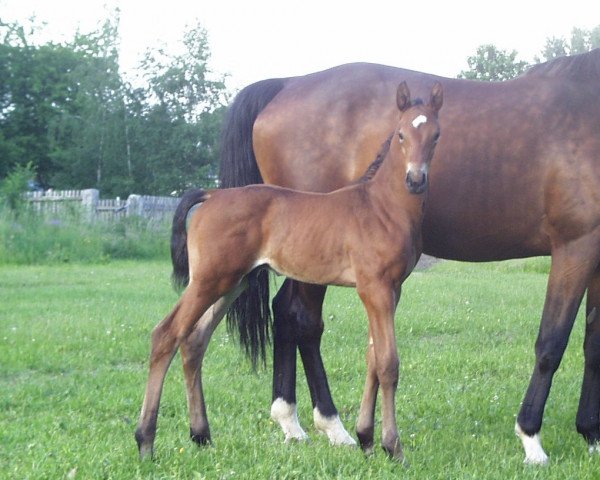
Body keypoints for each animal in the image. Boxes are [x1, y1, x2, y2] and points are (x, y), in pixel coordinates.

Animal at [137, 83, 446, 462]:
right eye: (401, 134)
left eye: (436, 135)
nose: (416, 179)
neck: (380, 206)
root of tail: (211, 195)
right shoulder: (374, 288)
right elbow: (388, 363)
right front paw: (393, 447)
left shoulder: (392, 289)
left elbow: (373, 358)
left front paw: (368, 440)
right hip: (209, 280)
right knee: (166, 334)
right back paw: (145, 441)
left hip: (231, 283)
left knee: (194, 340)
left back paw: (201, 435)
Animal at [219, 49, 600, 464]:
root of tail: (287, 84)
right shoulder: (575, 245)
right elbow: (552, 344)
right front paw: (531, 438)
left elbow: (592, 342)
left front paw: (591, 432)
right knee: (301, 319)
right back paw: (331, 426)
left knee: (287, 314)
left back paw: (293, 420)